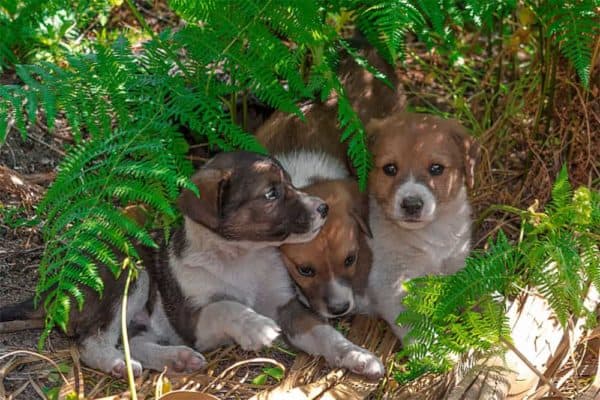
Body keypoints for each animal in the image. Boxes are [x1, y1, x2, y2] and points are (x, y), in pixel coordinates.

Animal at [131, 152, 384, 380]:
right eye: (271, 193)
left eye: (290, 182)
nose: (324, 208)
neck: (242, 258)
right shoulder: (190, 322)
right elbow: (224, 306)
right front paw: (255, 326)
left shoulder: (287, 307)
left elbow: (325, 333)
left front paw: (357, 354)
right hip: (139, 275)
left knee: (135, 342)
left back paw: (176, 359)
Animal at [356, 112, 482, 338]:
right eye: (390, 169)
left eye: (436, 168)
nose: (412, 205)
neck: (431, 233)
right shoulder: (391, 283)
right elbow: (416, 328)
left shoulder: (457, 262)